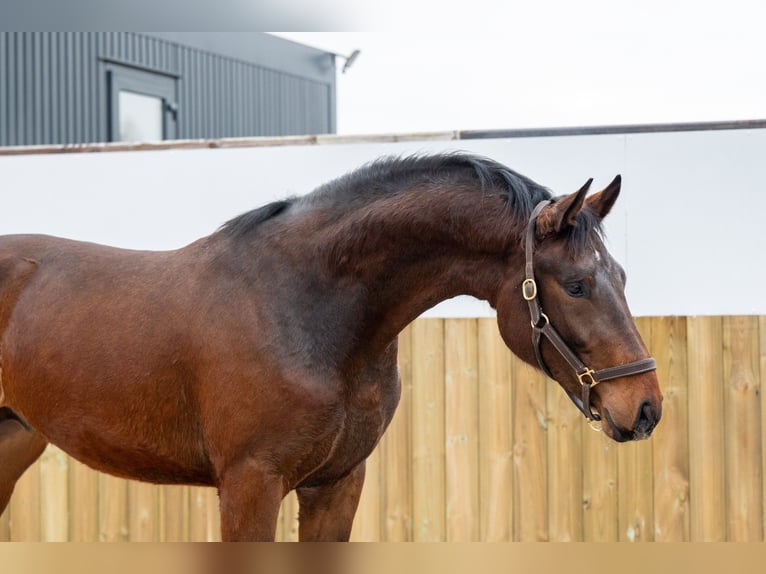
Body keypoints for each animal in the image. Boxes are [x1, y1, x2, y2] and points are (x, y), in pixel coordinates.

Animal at [0, 152, 660, 540]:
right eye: (576, 284)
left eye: (624, 276)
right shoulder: (249, 485)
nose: (645, 407)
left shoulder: (337, 484)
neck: (306, 304)